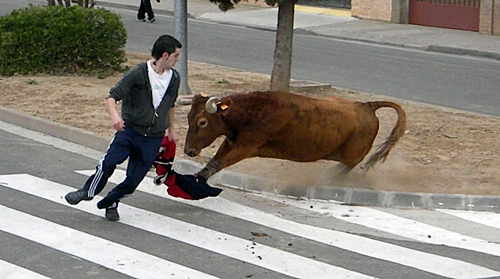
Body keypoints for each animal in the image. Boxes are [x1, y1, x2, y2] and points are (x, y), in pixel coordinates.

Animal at [184, 92, 406, 179]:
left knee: (349, 166)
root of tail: (367, 106)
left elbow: (217, 164)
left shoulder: (245, 148)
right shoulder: (231, 143)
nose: (188, 151)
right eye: (188, 117)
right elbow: (213, 162)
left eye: (202, 122)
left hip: (352, 155)